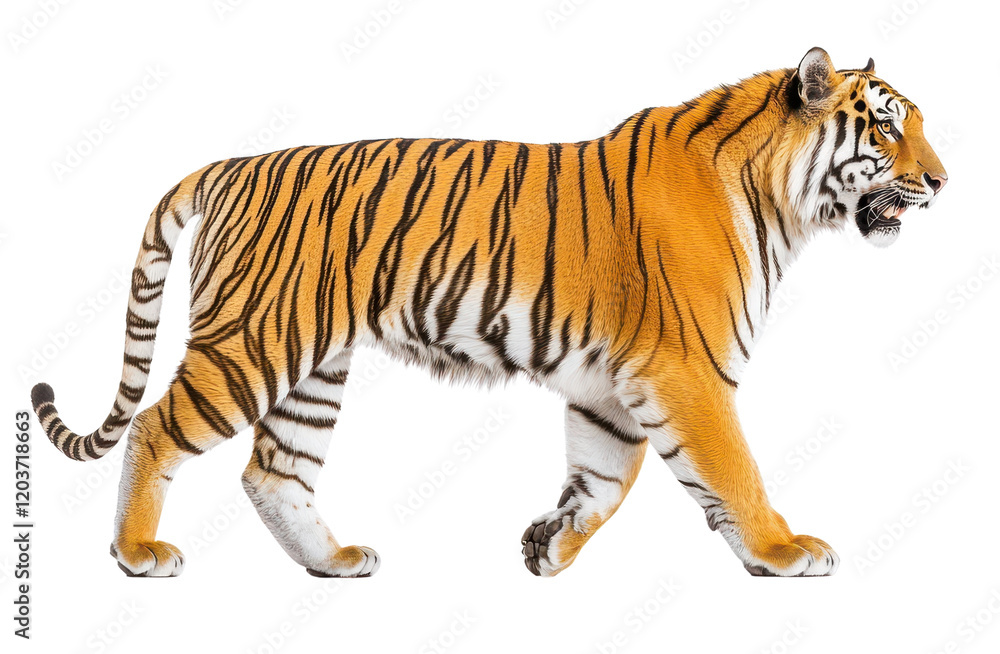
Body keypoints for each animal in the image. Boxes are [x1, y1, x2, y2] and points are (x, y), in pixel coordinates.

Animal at [30, 47, 947, 579]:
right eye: (885, 129)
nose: (942, 181)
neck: (781, 204)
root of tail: (226, 166)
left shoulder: (615, 384)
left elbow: (607, 477)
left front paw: (551, 544)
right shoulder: (685, 369)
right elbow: (732, 469)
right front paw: (781, 551)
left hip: (313, 365)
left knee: (274, 471)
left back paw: (334, 561)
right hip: (250, 343)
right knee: (155, 428)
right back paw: (137, 553)